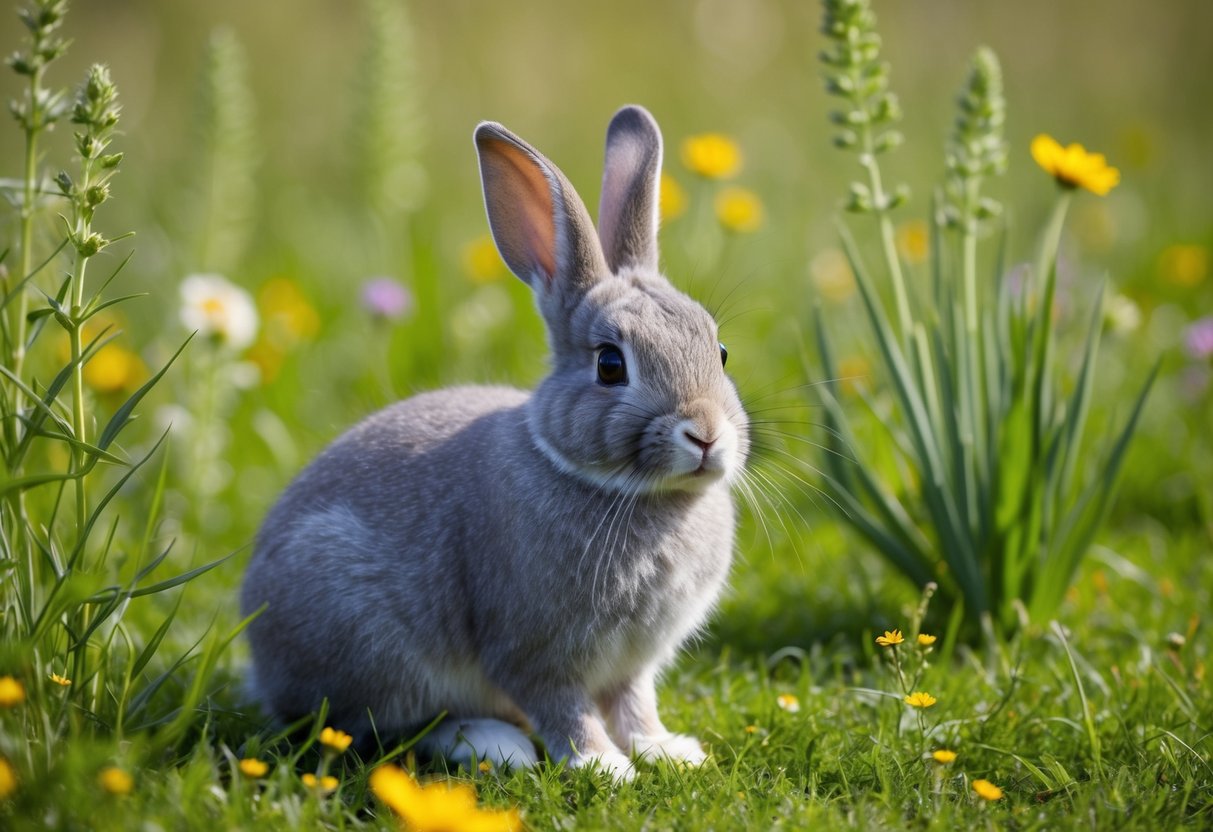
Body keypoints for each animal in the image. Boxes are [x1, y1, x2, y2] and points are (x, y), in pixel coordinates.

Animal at [240, 104, 749, 780]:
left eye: (720, 352)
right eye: (611, 365)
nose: (706, 434)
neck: (638, 494)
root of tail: (261, 658)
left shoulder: (633, 662)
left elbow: (635, 704)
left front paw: (668, 751)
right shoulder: (534, 652)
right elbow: (566, 711)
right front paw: (603, 766)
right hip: (369, 640)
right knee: (380, 725)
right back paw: (493, 743)